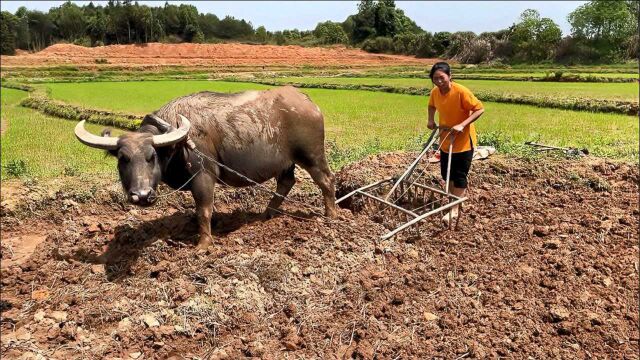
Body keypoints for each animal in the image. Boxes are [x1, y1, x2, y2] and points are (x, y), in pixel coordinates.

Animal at [75, 86, 340, 249]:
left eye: (152, 156)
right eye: (123, 158)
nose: (141, 195)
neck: (177, 143)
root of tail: (308, 102)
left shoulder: (204, 176)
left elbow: (203, 210)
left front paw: (203, 245)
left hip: (312, 156)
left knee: (326, 180)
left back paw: (331, 216)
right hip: (285, 163)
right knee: (286, 182)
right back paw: (267, 215)